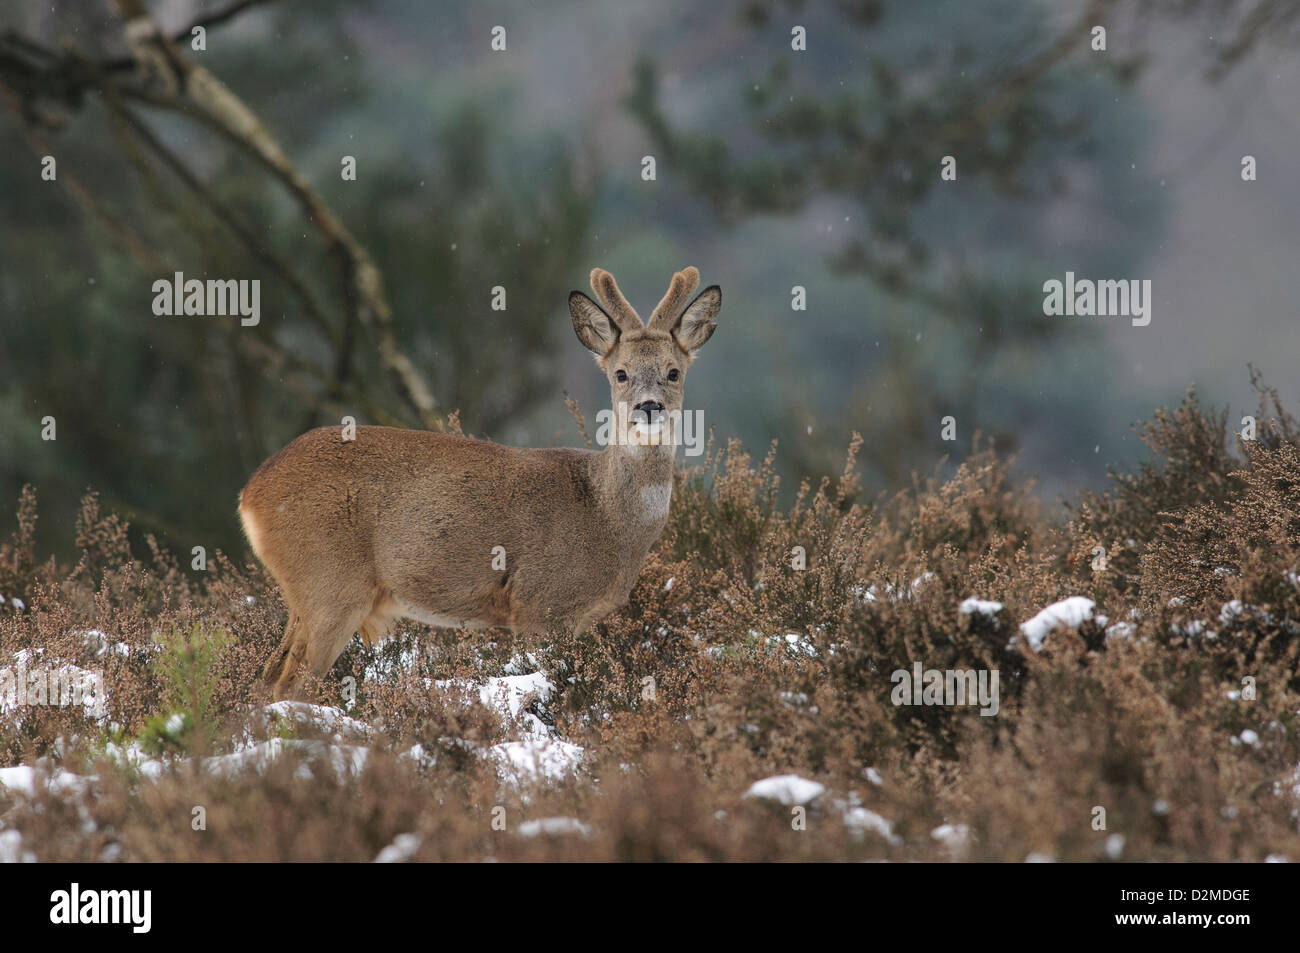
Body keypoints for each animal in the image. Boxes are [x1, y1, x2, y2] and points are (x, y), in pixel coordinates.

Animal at [238, 266, 720, 699]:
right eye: (620, 373)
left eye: (674, 371)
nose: (649, 406)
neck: (604, 515)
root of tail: (249, 494)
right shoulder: (539, 603)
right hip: (330, 583)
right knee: (289, 684)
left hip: (308, 594)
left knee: (265, 680)